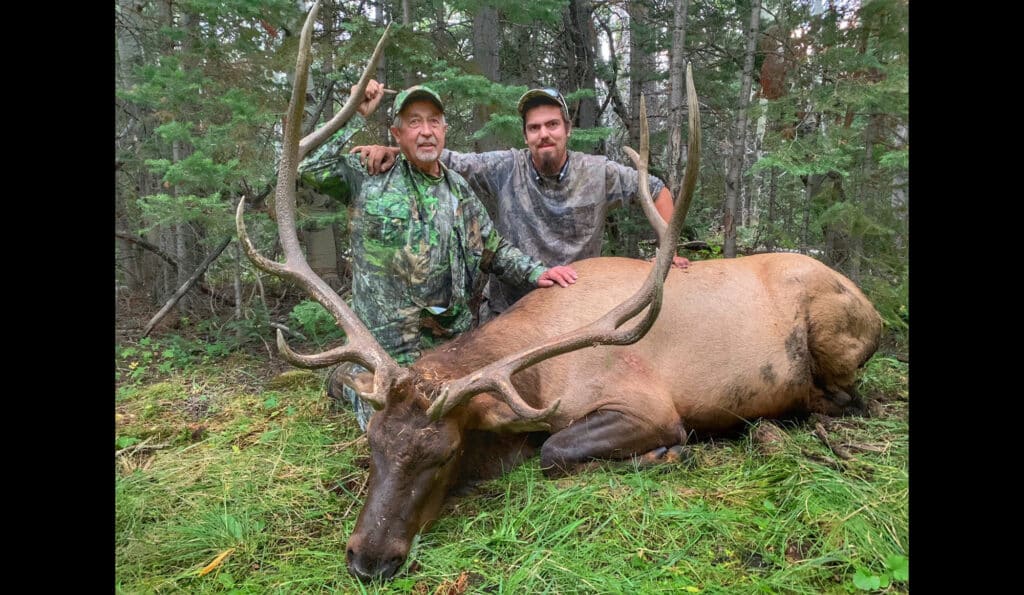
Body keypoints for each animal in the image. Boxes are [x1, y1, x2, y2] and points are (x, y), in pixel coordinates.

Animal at [235, 2, 882, 582]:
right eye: (373, 442)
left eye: (444, 453)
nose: (368, 559)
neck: (539, 376)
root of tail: (874, 309)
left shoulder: (649, 404)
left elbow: (553, 451)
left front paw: (665, 453)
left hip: (832, 335)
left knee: (850, 398)